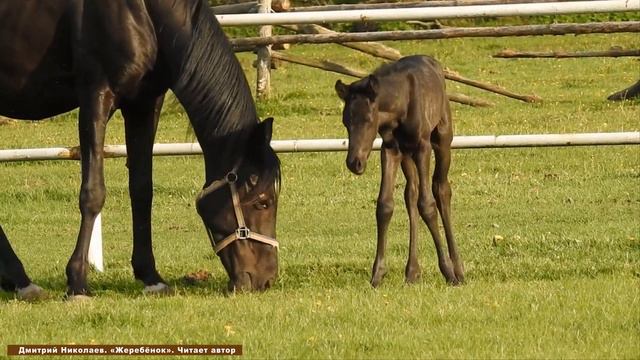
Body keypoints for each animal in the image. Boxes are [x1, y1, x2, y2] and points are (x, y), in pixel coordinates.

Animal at [0, 0, 280, 300]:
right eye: (263, 201)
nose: (265, 280)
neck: (143, 13)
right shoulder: (96, 97)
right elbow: (93, 193)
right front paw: (77, 283)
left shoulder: (144, 104)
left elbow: (142, 190)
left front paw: (151, 277)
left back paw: (19, 280)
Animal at [336, 55, 464, 286]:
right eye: (345, 121)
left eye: (368, 119)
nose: (354, 162)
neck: (401, 105)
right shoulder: (390, 149)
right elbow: (384, 205)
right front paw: (377, 274)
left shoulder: (423, 147)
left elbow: (427, 205)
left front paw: (448, 271)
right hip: (406, 155)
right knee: (411, 193)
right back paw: (412, 271)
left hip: (442, 138)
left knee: (441, 189)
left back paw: (458, 269)